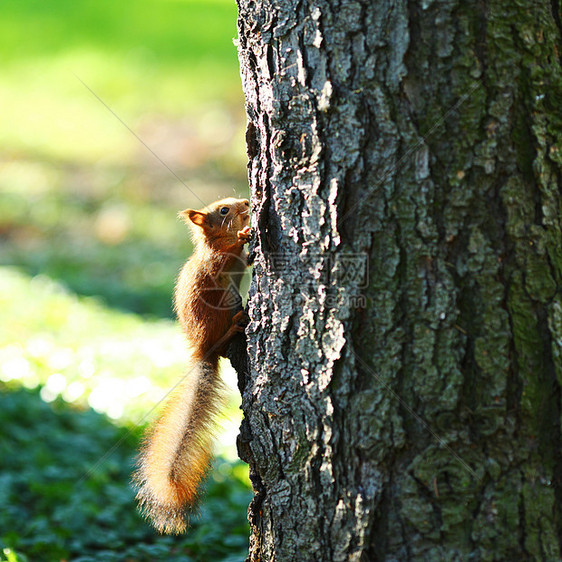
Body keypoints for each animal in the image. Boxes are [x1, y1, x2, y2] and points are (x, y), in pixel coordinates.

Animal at [133, 196, 252, 528]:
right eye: (223, 210)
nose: (247, 201)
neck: (215, 242)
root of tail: (204, 352)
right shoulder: (215, 263)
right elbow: (226, 258)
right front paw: (244, 235)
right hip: (218, 311)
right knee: (224, 338)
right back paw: (235, 327)